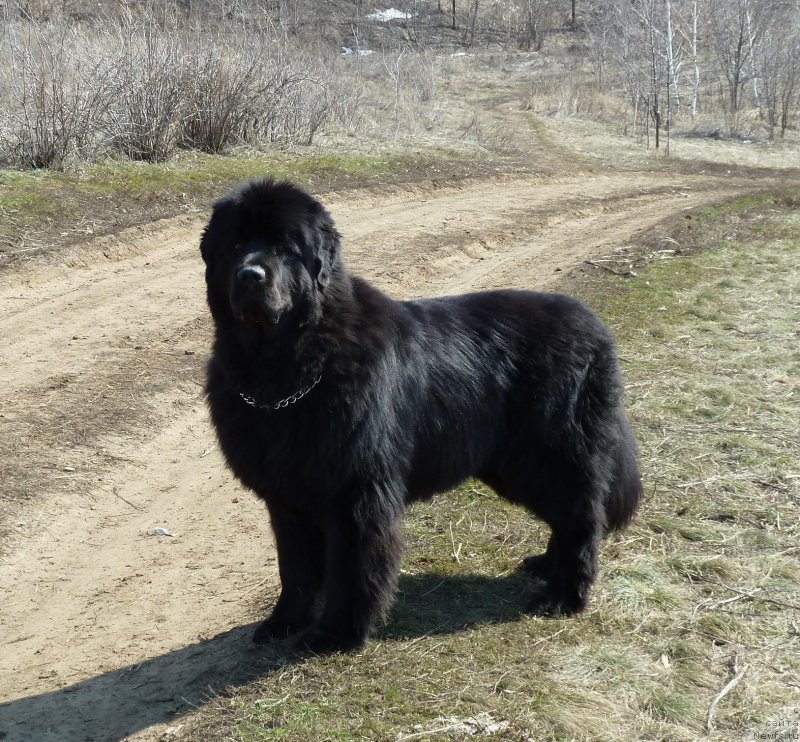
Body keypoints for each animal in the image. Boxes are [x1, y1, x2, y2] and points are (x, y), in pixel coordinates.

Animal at [202, 180, 644, 656]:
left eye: (285, 248)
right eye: (235, 245)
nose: (251, 275)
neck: (287, 372)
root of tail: (595, 327)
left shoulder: (354, 492)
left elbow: (352, 568)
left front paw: (337, 632)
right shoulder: (286, 495)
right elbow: (295, 566)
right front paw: (284, 622)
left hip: (551, 455)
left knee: (582, 518)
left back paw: (565, 596)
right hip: (514, 466)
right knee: (567, 516)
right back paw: (546, 566)